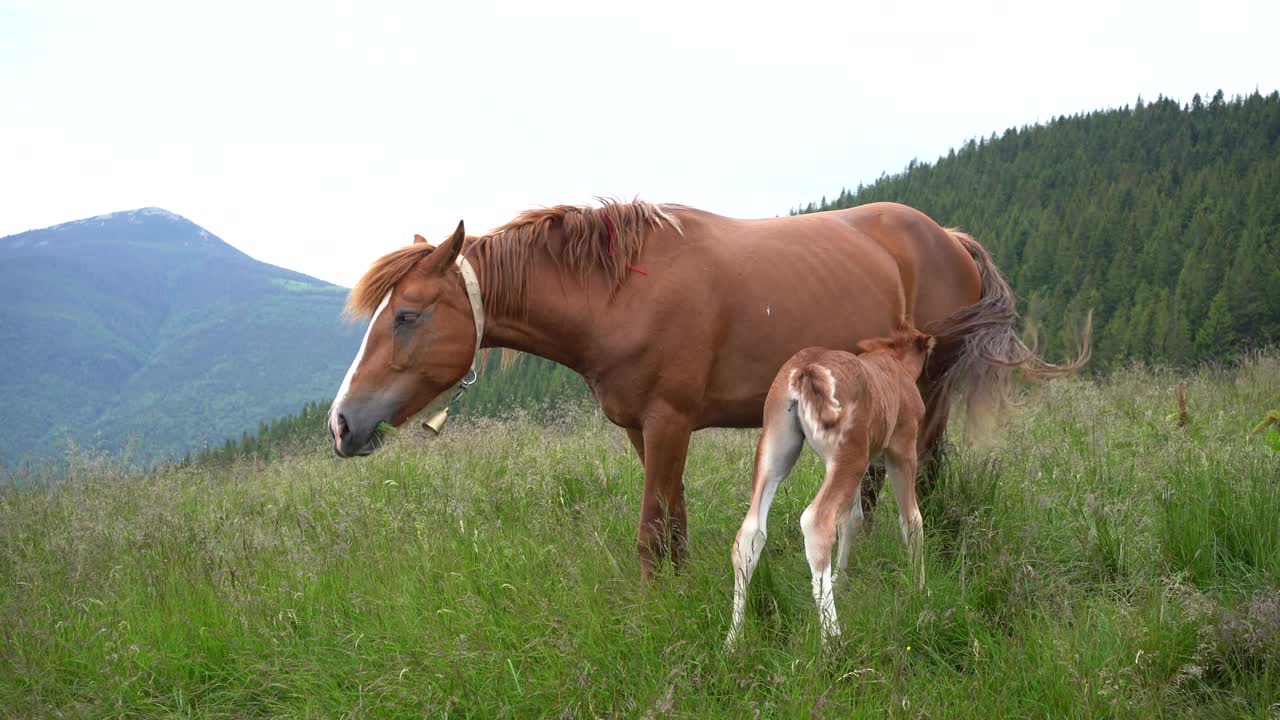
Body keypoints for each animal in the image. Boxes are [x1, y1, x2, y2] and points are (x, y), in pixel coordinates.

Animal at [330, 196, 1090, 576]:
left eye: (407, 315)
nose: (341, 425)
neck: (618, 292)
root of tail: (950, 237)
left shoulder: (670, 422)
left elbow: (649, 534)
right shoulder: (644, 430)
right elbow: (673, 529)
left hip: (927, 398)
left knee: (917, 480)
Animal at [727, 327, 936, 648]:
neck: (894, 363)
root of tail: (806, 369)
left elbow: (852, 520)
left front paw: (840, 578)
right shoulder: (901, 450)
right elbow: (912, 519)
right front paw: (920, 589)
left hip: (777, 447)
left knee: (750, 533)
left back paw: (732, 641)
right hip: (850, 456)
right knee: (816, 522)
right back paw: (832, 639)